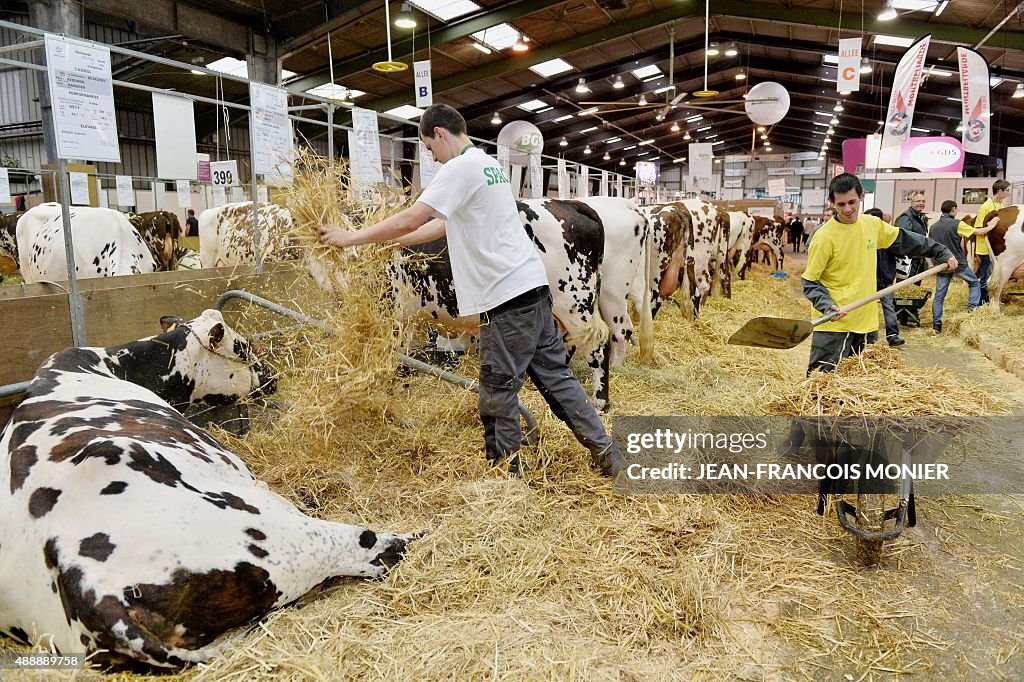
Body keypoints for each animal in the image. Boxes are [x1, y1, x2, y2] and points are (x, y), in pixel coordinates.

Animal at [0, 309, 417, 667]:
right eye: (243, 347)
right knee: (369, 546)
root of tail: (87, 586)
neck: (111, 365)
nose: (272, 376)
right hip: (285, 539)